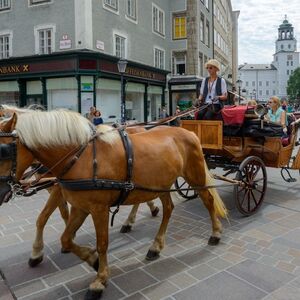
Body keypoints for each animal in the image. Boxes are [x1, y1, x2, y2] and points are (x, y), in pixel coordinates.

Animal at [0, 111, 226, 298]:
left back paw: (215, 233)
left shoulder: (98, 208)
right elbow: (65, 237)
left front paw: (99, 280)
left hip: (194, 175)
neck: (81, 157)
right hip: (160, 184)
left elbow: (102, 243)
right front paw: (91, 259)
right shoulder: (79, 205)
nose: (2, 193)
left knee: (208, 201)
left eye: (4, 151)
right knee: (168, 208)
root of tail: (188, 132)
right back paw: (155, 245)